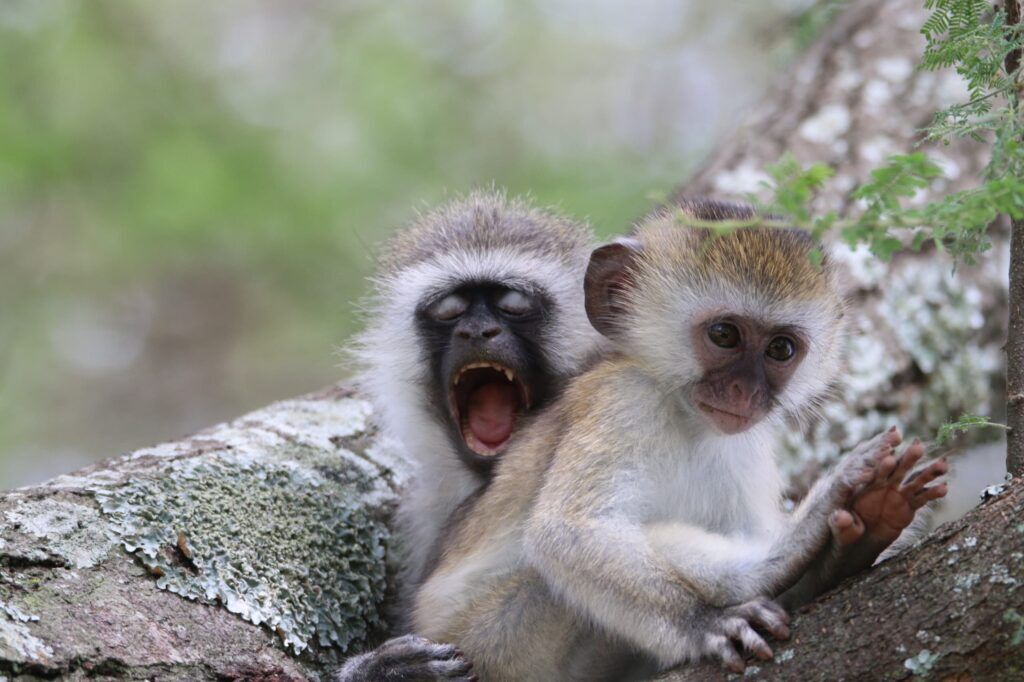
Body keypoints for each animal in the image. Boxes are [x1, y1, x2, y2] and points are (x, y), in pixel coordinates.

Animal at [408, 200, 950, 680]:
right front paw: (702, 624)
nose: (744, 391)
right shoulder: (622, 400)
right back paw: (775, 560)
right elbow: (566, 534)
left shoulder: (746, 444)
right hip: (486, 641)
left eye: (780, 349)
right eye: (725, 335)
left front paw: (842, 553)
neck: (687, 418)